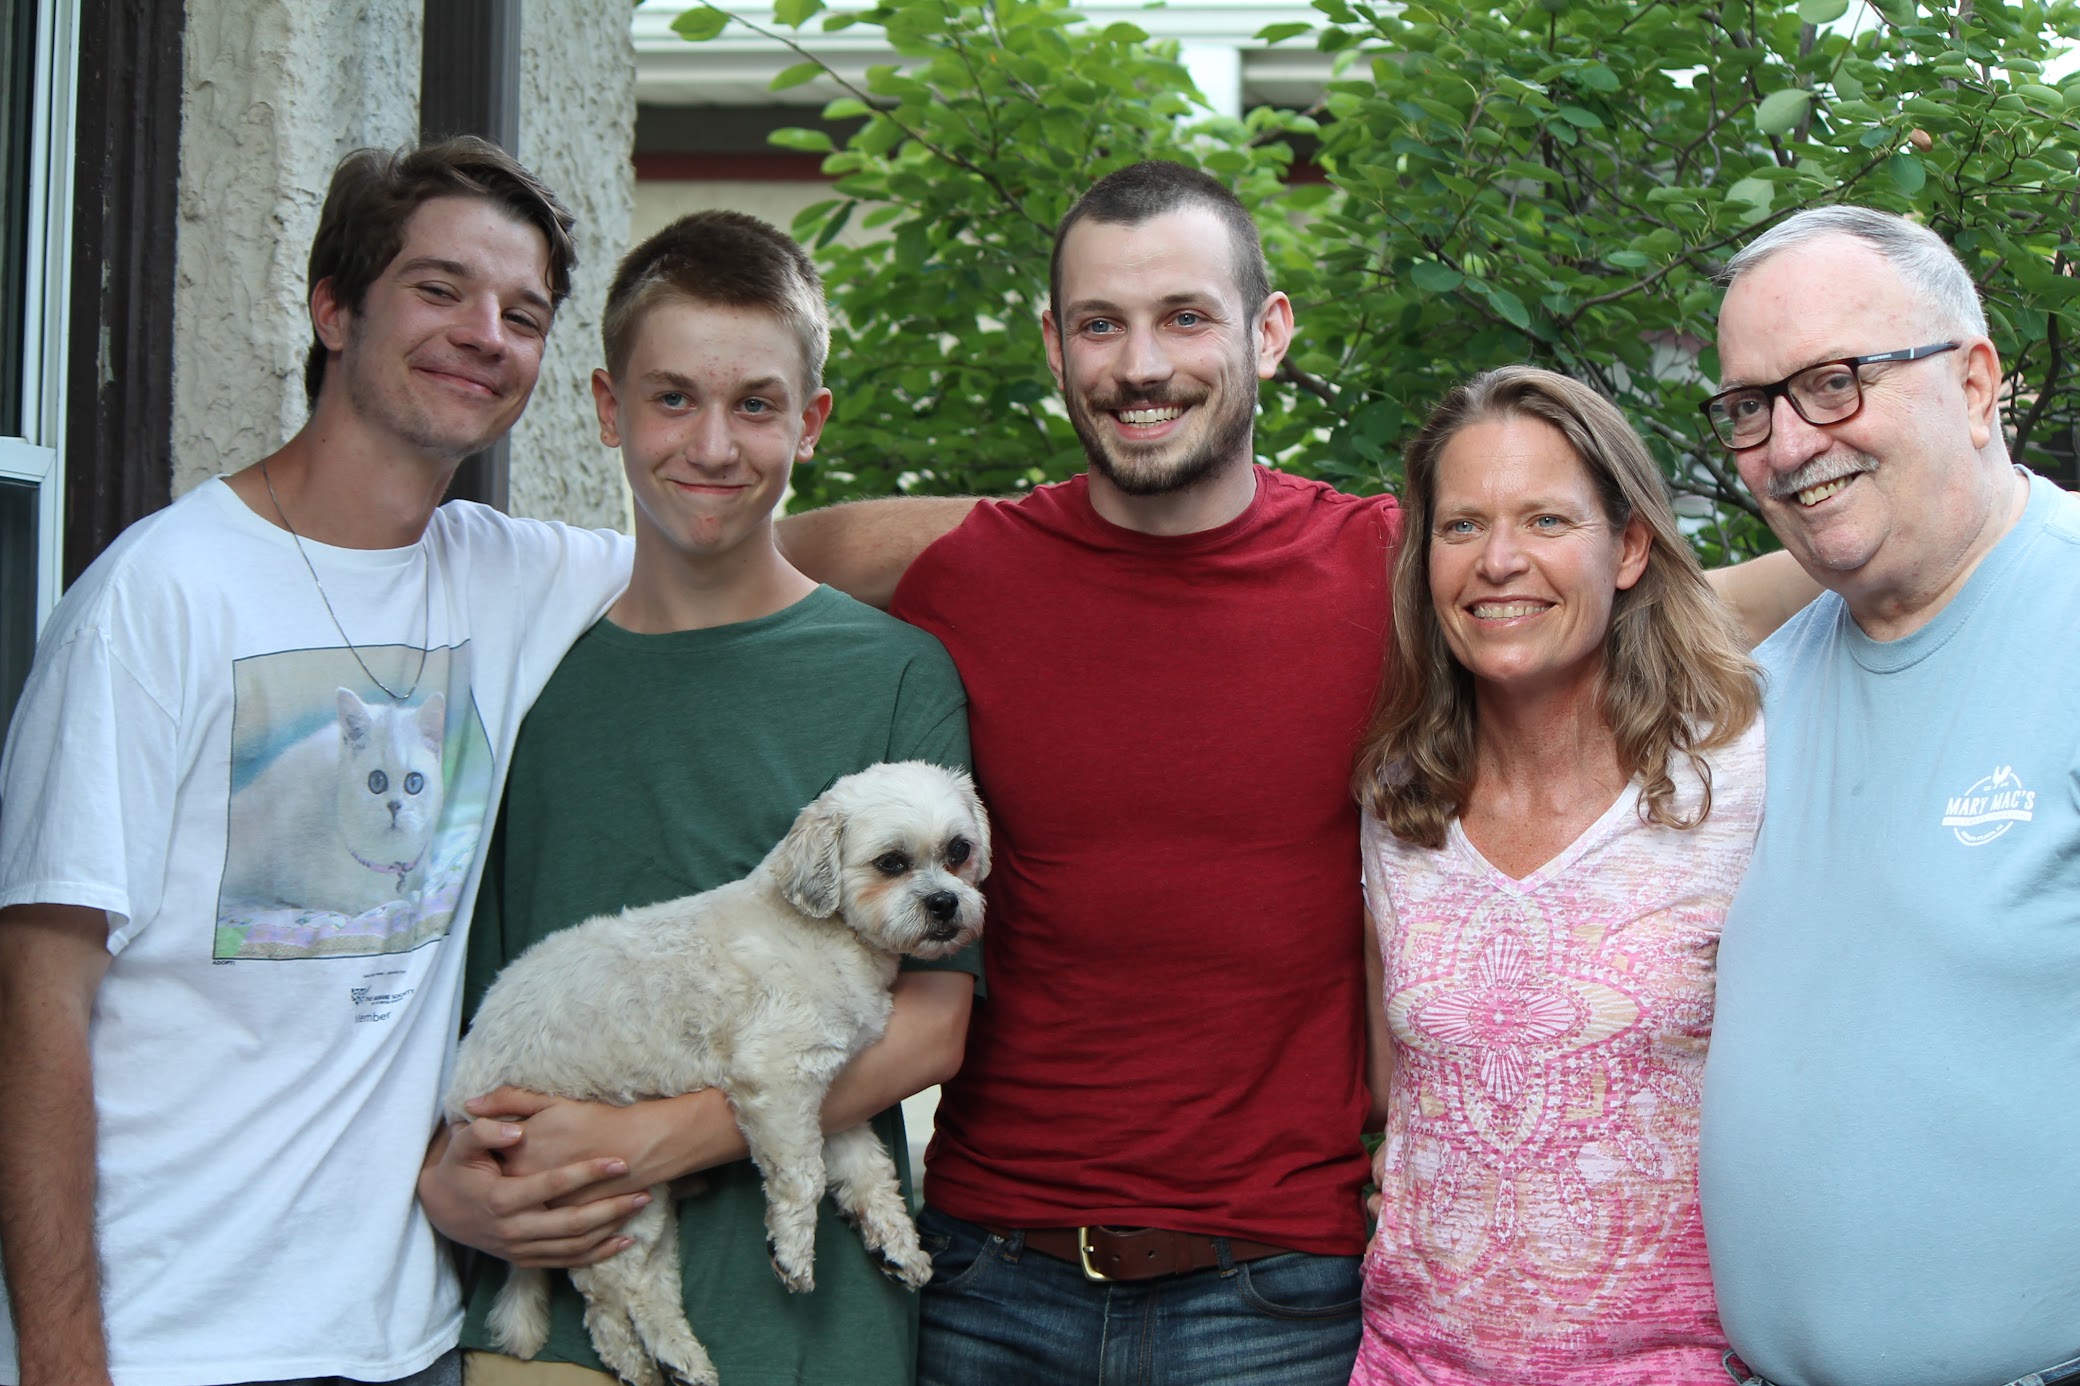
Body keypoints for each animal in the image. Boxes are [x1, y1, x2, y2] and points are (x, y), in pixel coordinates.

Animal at [440, 761, 990, 1373]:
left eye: (959, 851)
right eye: (891, 862)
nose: (945, 903)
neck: (824, 932)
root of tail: (461, 1085)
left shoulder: (830, 1101)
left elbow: (867, 1174)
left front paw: (896, 1244)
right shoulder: (777, 1079)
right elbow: (804, 1178)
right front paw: (791, 1253)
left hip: (646, 1202)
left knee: (648, 1288)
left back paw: (681, 1362)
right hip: (601, 1201)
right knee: (607, 1301)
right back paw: (634, 1365)